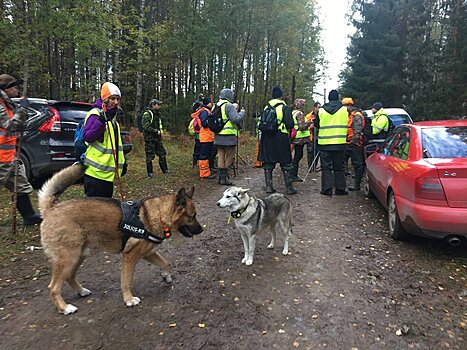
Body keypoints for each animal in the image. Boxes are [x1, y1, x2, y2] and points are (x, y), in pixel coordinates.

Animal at [38, 164, 203, 314]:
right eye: (192, 216)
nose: (202, 230)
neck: (156, 216)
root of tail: (51, 208)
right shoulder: (130, 257)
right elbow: (126, 281)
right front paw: (129, 299)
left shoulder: (148, 253)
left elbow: (165, 263)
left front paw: (166, 275)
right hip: (69, 257)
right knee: (53, 287)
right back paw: (64, 307)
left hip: (80, 255)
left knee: (69, 276)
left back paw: (81, 291)